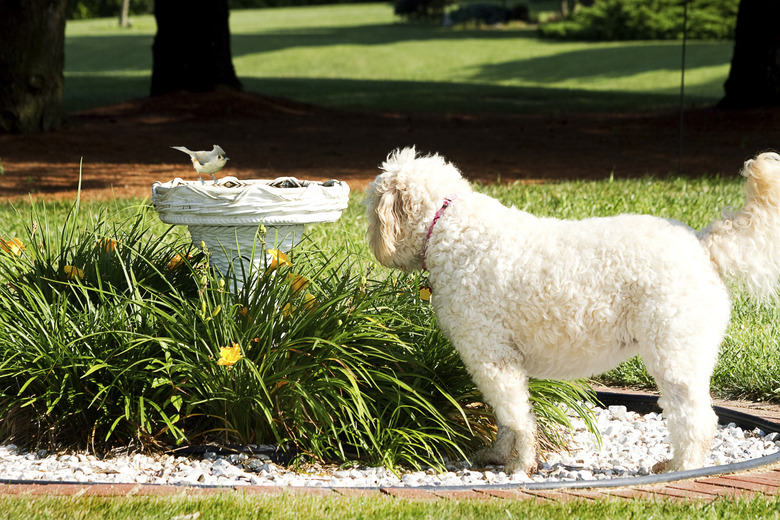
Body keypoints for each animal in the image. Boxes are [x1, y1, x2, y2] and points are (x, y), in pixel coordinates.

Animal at [368, 147, 780, 476]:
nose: (370, 242)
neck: (450, 227)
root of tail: (702, 245)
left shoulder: (492, 358)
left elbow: (516, 418)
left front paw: (520, 466)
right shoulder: (499, 362)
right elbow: (505, 421)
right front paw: (498, 455)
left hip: (675, 356)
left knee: (696, 418)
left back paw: (683, 467)